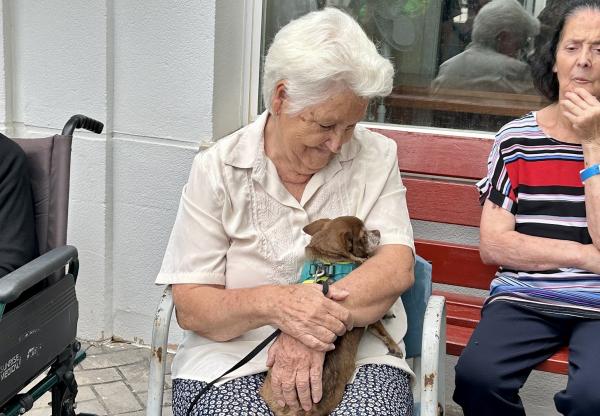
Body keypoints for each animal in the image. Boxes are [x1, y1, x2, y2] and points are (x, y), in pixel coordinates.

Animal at [258, 216, 404, 414]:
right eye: (363, 236)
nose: (378, 232)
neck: (329, 262)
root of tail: (297, 410)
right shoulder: (370, 319)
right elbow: (381, 329)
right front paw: (394, 345)